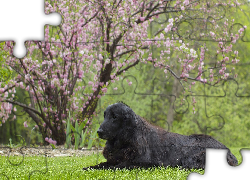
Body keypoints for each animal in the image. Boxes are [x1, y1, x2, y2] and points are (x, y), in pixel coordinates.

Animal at [82, 102, 238, 169]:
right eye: (105, 115)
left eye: (115, 117)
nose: (99, 131)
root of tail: (228, 150)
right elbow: (103, 164)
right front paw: (90, 167)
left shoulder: (142, 162)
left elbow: (117, 166)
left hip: (191, 158)